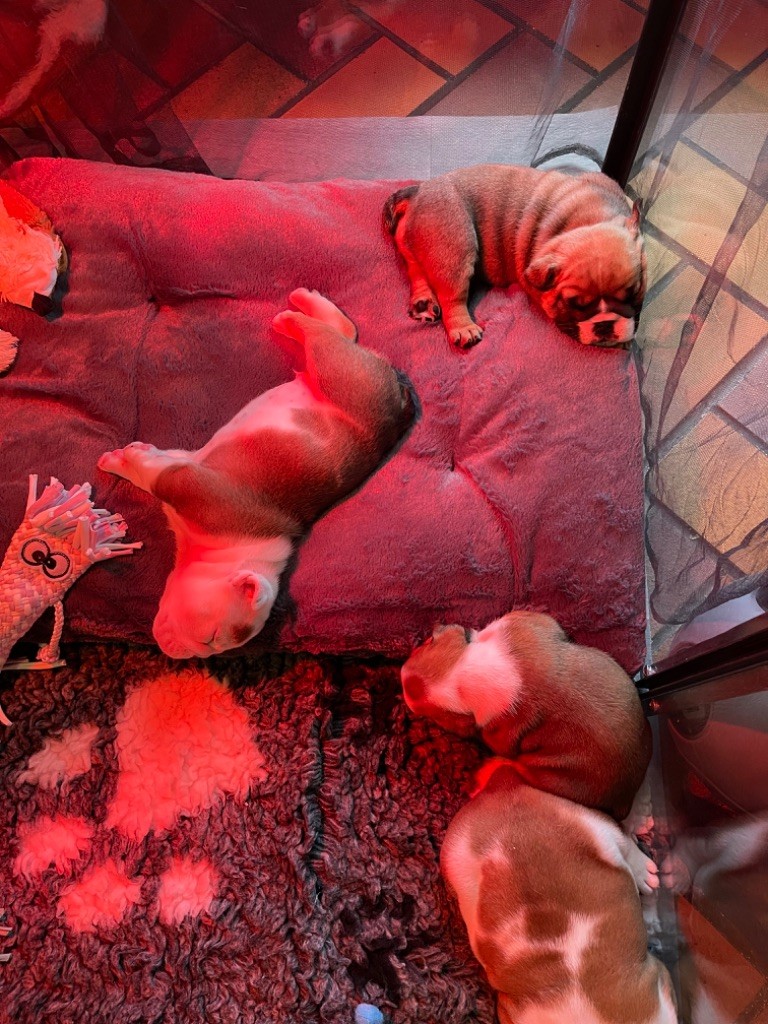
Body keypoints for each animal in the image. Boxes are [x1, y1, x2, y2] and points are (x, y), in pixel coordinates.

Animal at [98, 288, 414, 659]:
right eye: (211, 636)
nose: (172, 650)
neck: (224, 552)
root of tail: (400, 407)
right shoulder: (188, 481)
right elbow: (157, 471)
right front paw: (128, 457)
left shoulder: (187, 473)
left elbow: (160, 468)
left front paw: (126, 458)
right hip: (338, 372)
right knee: (334, 336)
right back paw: (294, 317)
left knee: (342, 333)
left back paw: (297, 314)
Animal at [384, 163, 646, 348]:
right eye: (574, 305)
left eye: (634, 294)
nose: (604, 325)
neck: (588, 218)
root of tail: (420, 191)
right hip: (454, 244)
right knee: (452, 295)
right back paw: (463, 327)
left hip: (413, 245)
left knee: (417, 269)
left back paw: (423, 302)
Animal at [400, 611, 651, 820]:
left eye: (439, 719)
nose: (403, 682)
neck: (470, 672)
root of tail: (625, 797)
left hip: (548, 775)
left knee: (513, 767)